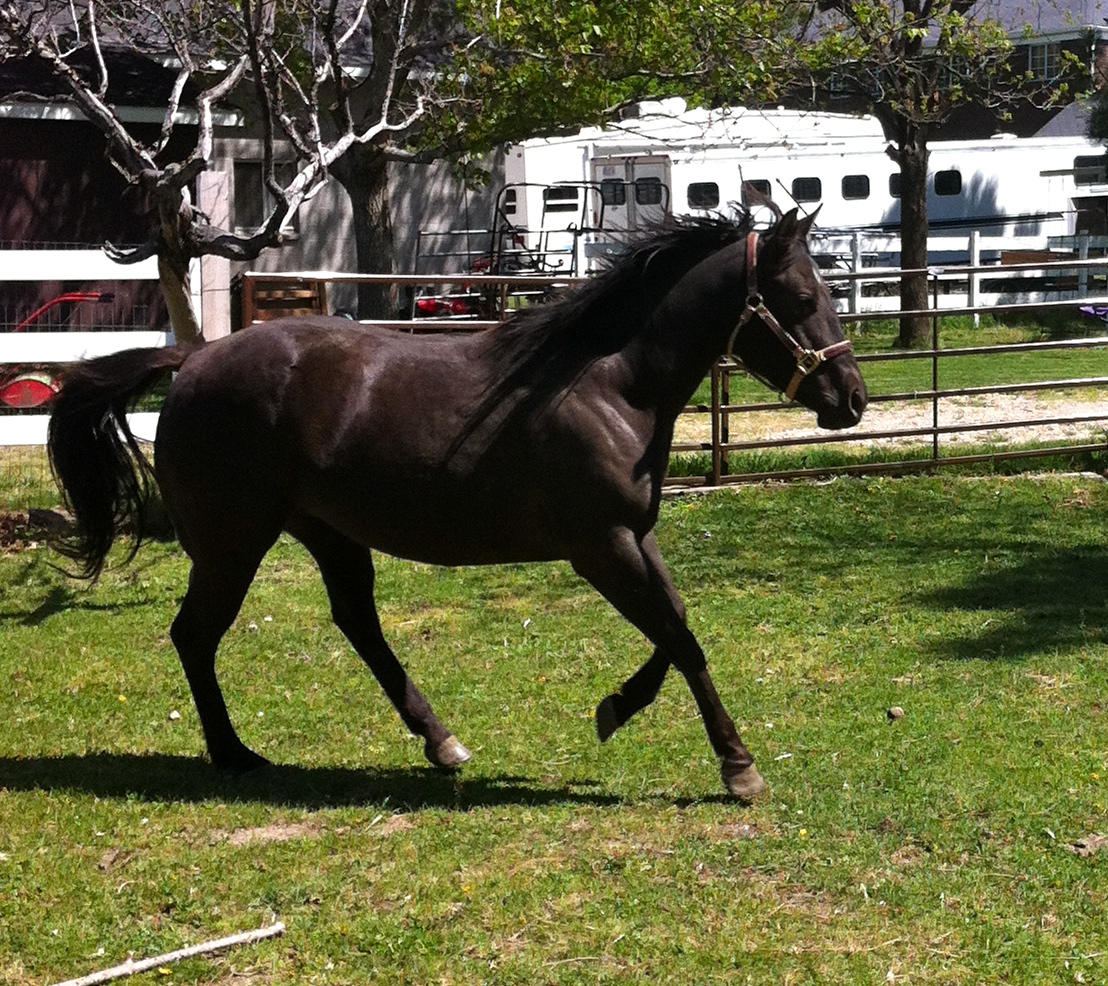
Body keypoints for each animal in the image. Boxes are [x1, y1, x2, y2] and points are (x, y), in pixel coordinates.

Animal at [47, 207, 867, 802]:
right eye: (803, 297)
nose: (852, 399)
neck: (609, 382)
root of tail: (191, 360)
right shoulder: (602, 545)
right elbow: (681, 638)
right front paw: (738, 766)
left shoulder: (634, 536)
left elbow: (677, 630)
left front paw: (616, 709)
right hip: (233, 543)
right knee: (195, 635)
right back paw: (234, 754)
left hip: (327, 532)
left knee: (357, 625)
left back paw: (441, 742)